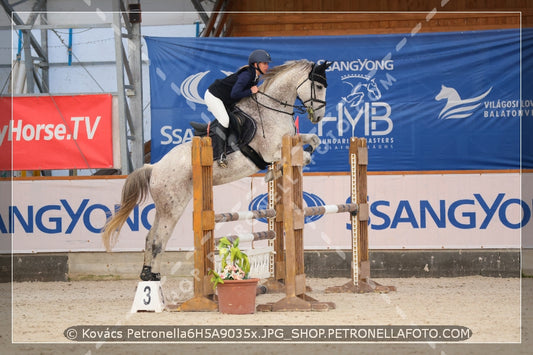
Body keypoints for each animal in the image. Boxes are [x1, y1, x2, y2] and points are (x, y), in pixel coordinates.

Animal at [102, 59, 330, 282]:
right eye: (319, 86)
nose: (319, 117)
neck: (272, 109)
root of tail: (154, 167)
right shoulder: (270, 152)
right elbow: (298, 156)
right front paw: (275, 171)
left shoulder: (289, 141)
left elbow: (313, 140)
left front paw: (288, 164)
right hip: (173, 207)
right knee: (159, 240)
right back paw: (154, 279)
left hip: (164, 206)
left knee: (150, 236)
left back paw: (147, 273)